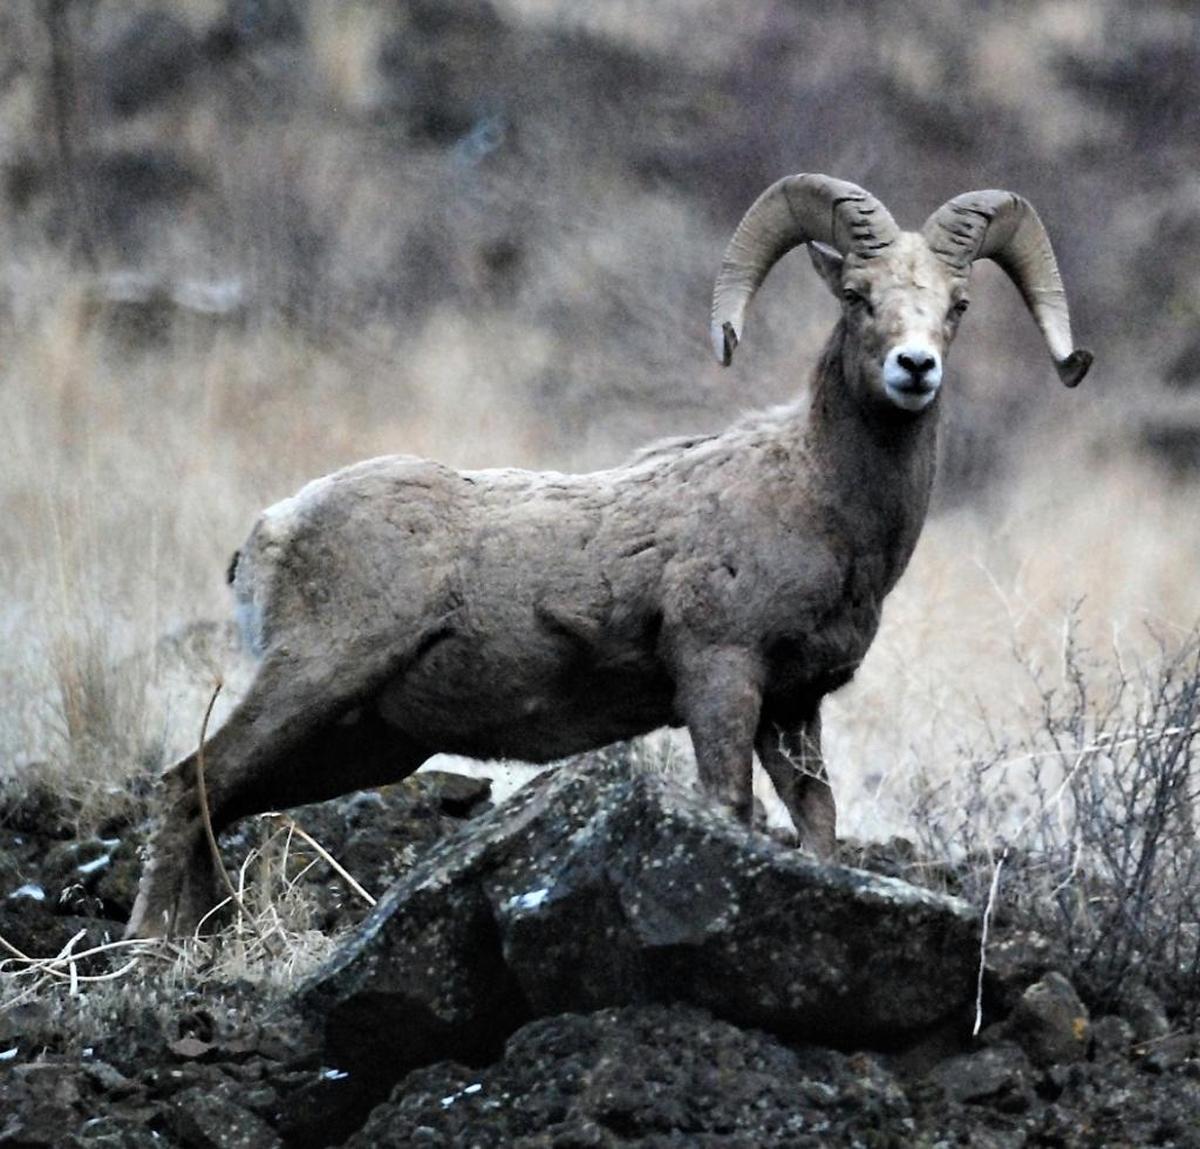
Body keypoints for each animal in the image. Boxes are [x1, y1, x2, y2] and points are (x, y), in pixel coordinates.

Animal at [126, 174, 1092, 939]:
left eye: (957, 306)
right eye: (857, 295)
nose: (914, 368)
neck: (821, 500)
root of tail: (272, 528)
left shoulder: (794, 708)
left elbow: (818, 822)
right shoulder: (719, 674)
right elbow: (732, 807)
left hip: (360, 743)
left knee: (219, 801)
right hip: (312, 680)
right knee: (187, 784)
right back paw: (146, 954)